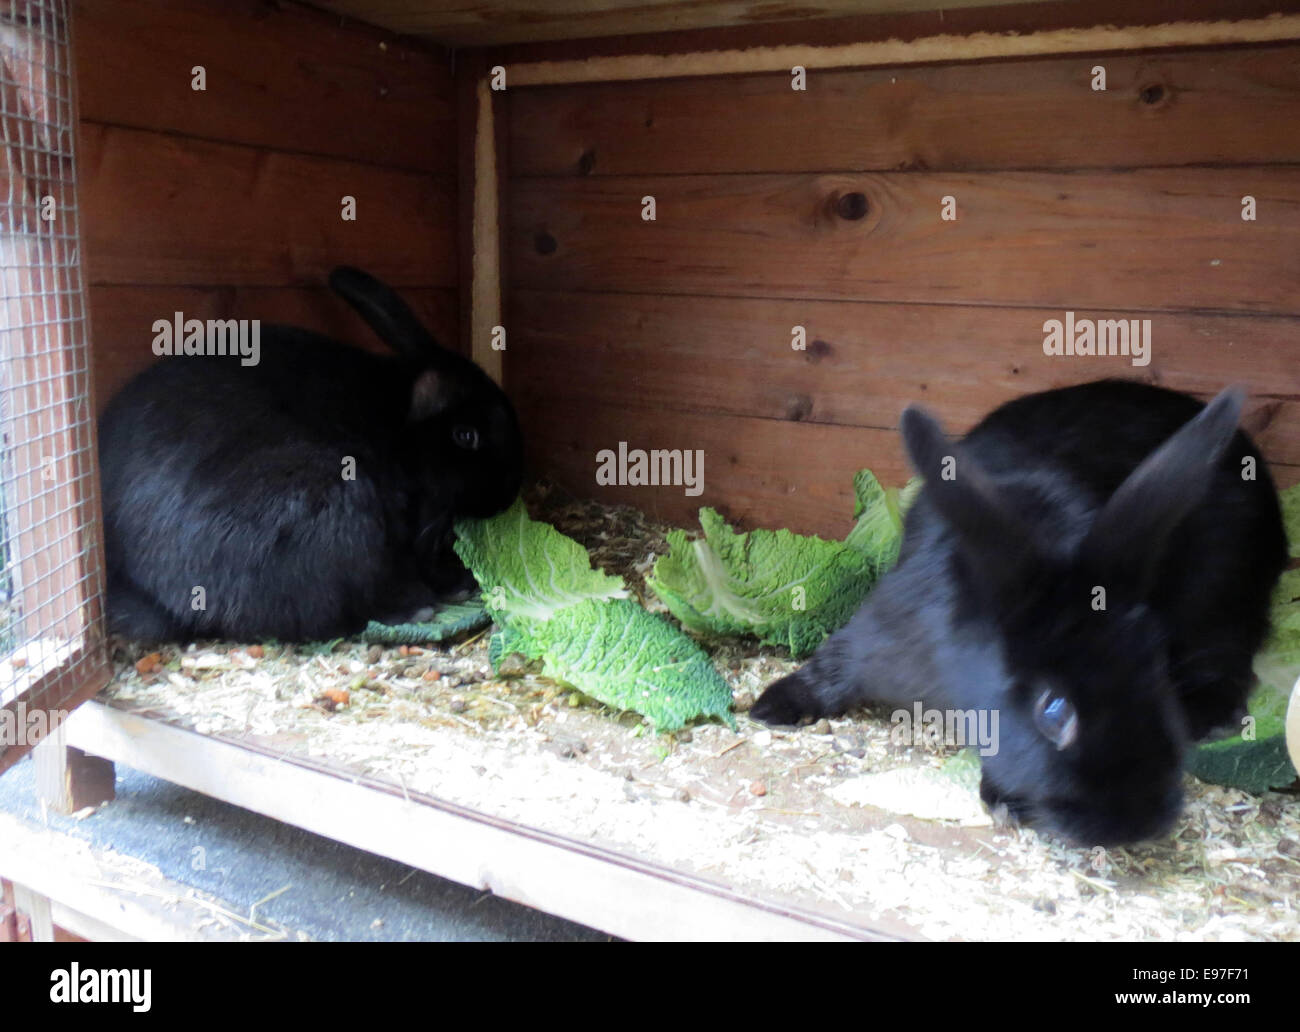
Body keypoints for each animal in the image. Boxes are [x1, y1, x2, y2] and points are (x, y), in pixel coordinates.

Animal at [100, 265, 522, 639]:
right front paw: (457, 584)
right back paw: (418, 608)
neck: (399, 429)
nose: (509, 492)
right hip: (338, 506)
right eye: (466, 435)